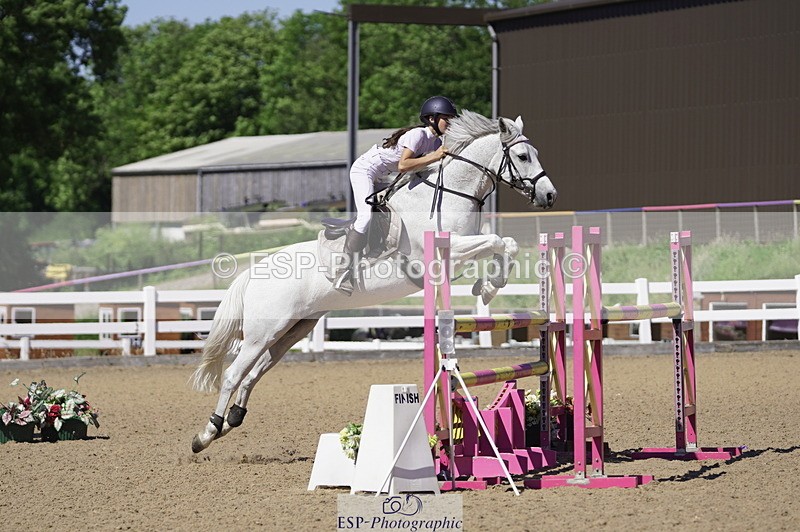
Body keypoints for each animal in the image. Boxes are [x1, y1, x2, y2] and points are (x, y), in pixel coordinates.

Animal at [189, 110, 557, 453]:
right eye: (522, 156)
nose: (550, 196)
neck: (452, 192)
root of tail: (252, 274)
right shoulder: (445, 253)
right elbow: (497, 240)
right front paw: (489, 286)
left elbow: (505, 243)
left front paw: (488, 286)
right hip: (262, 331)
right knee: (233, 374)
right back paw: (206, 433)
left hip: (293, 329)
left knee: (255, 372)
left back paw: (232, 420)